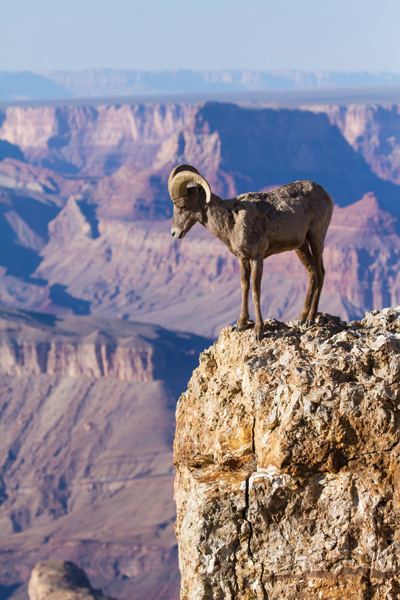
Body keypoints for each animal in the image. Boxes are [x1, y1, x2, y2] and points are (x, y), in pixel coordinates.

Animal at [169, 164, 334, 340]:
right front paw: (241, 323)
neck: (232, 221)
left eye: (183, 206)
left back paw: (311, 318)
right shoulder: (243, 259)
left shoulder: (257, 257)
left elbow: (256, 291)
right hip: (301, 246)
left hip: (316, 238)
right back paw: (302, 317)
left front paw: (258, 331)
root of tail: (326, 194)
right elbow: (244, 286)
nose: (175, 233)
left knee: (321, 272)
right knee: (312, 273)